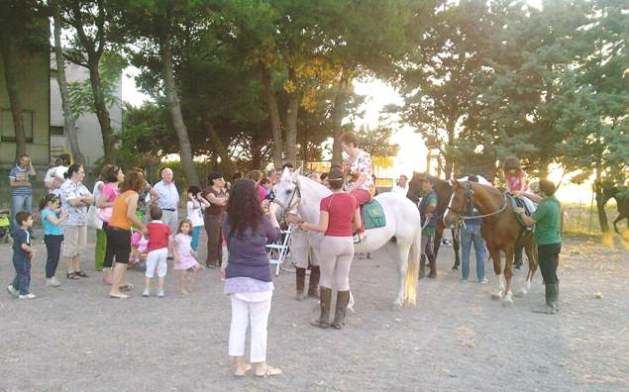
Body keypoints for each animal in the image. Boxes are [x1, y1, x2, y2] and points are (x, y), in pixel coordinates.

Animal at [272, 168, 422, 306]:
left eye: (289, 191)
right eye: (275, 189)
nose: (276, 215)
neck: (323, 212)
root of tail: (411, 204)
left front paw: (348, 302)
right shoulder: (321, 251)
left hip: (404, 244)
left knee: (403, 269)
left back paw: (398, 301)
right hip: (392, 245)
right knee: (399, 269)